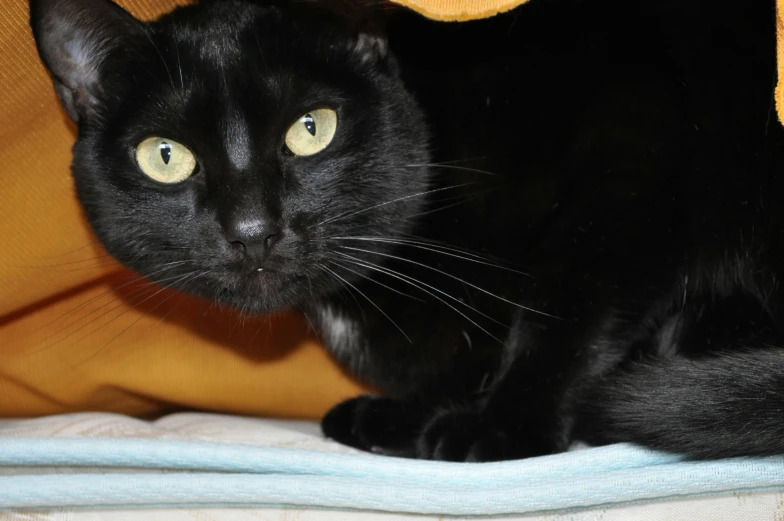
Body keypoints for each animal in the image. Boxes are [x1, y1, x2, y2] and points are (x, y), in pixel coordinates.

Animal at [30, 0, 784, 460]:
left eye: (312, 129)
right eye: (166, 156)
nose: (252, 229)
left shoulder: (633, 137)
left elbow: (564, 309)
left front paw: (500, 425)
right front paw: (399, 415)